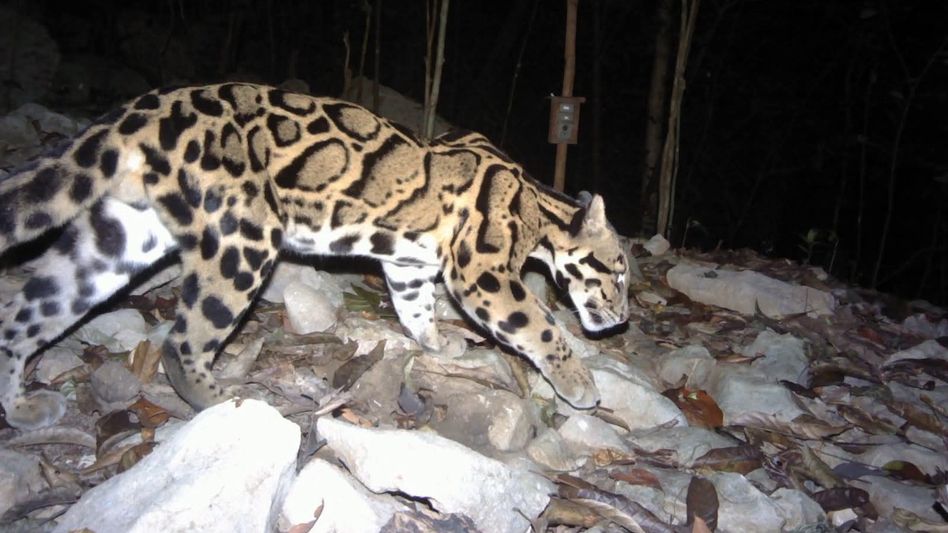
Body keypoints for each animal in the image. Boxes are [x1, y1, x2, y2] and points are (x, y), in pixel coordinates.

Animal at [0, 83, 630, 430]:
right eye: (620, 275)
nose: (622, 319)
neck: (540, 204)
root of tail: (142, 109)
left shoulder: (409, 265)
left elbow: (415, 309)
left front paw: (435, 343)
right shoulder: (482, 272)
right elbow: (541, 328)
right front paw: (578, 383)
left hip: (119, 237)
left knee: (24, 313)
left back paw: (19, 409)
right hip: (244, 237)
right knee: (182, 341)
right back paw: (220, 398)